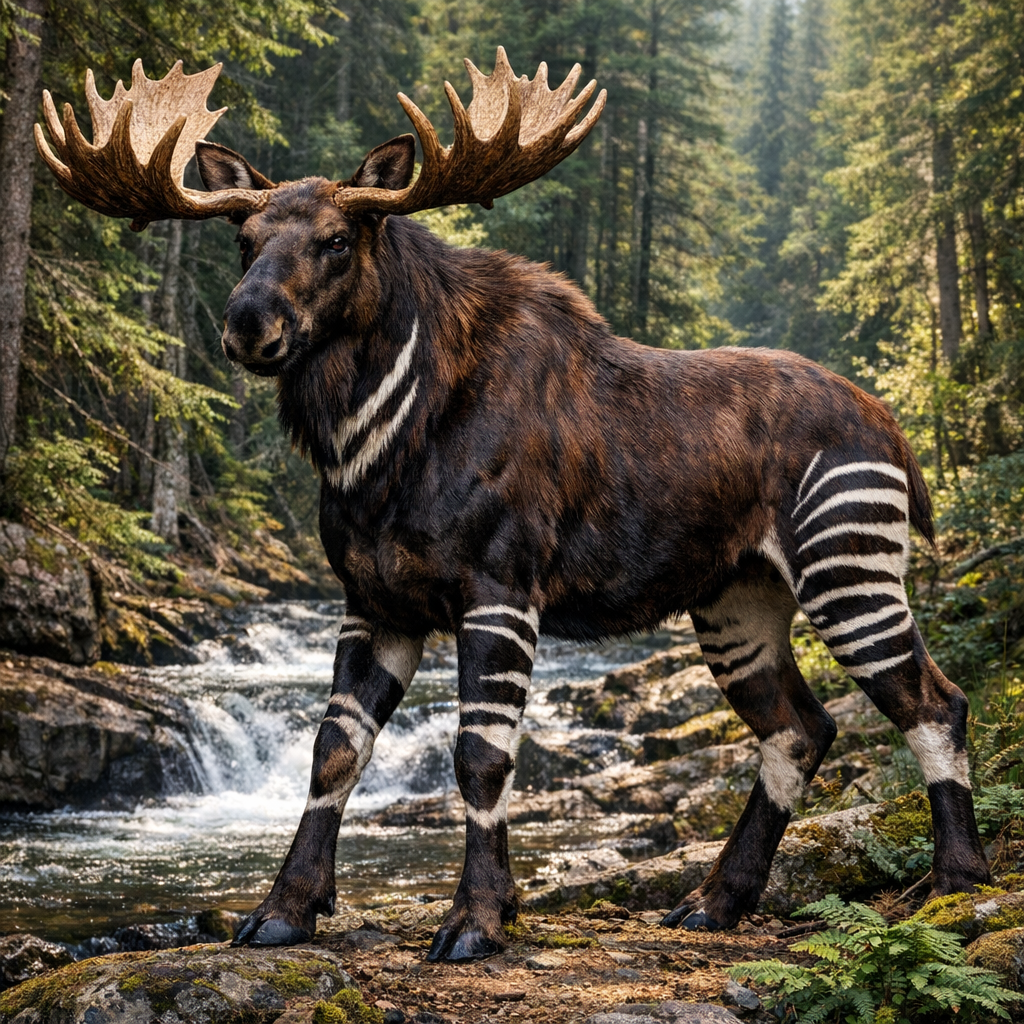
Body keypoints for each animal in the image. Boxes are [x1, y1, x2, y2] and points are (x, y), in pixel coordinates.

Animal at [35, 53, 990, 962]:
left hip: (847, 561)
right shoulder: (375, 599)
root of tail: (898, 437)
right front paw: (283, 911)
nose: (247, 324)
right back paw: (715, 899)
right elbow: (334, 751)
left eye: (338, 240)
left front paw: (478, 920)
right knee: (800, 728)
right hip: (737, 598)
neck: (373, 447)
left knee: (933, 701)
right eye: (244, 237)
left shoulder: (500, 588)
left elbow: (479, 759)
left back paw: (957, 881)